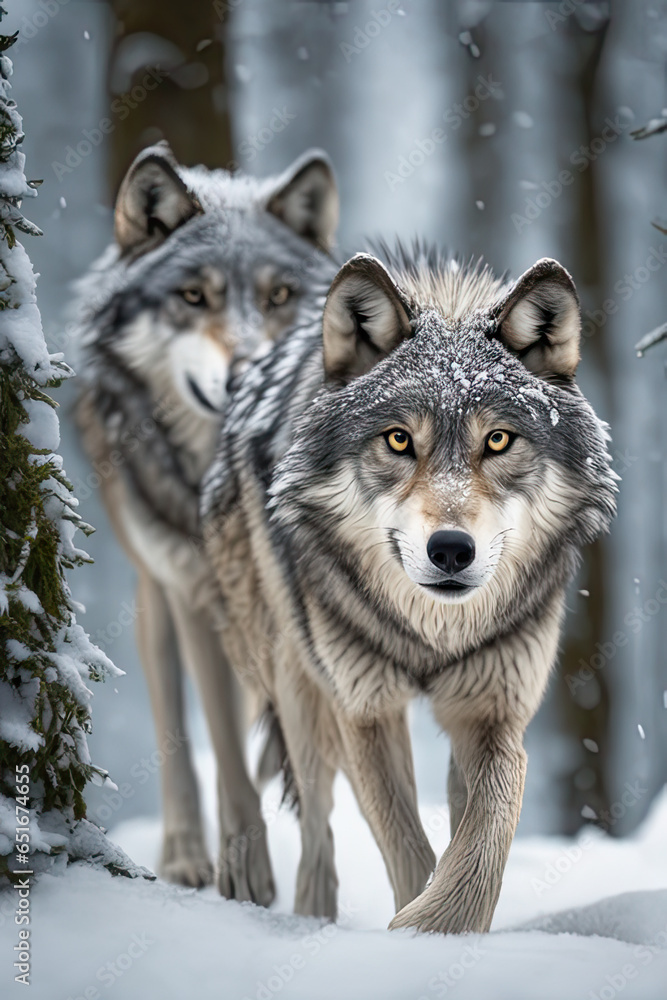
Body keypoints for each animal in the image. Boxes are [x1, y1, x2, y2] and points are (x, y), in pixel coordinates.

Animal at [74, 141, 339, 903]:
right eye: (194, 297)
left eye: (279, 297)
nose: (248, 369)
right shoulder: (191, 593)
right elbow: (215, 738)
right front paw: (242, 870)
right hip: (154, 598)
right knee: (178, 726)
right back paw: (188, 854)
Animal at [202, 244, 617, 931]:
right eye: (399, 439)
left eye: (497, 439)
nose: (450, 549)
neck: (433, 637)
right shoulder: (366, 709)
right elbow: (405, 842)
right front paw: (414, 934)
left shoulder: (493, 711)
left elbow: (486, 828)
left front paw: (442, 925)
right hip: (300, 689)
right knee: (316, 824)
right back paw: (311, 918)